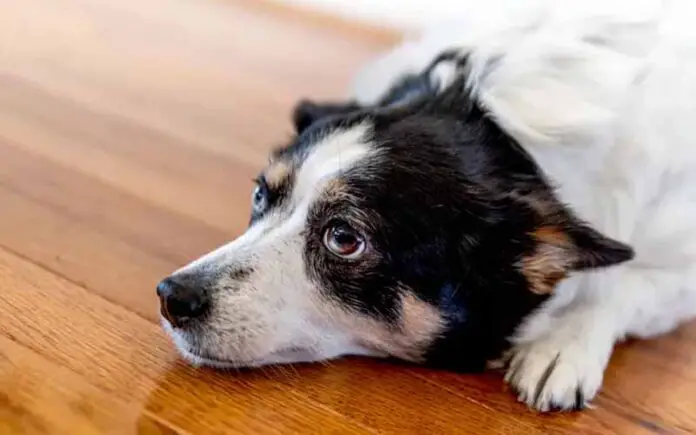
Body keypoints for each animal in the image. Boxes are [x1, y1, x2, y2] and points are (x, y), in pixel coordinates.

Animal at [158, 0, 696, 412]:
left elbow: (619, 284)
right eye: (260, 195)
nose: (170, 295)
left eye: (344, 239)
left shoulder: (681, 272)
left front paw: (562, 346)